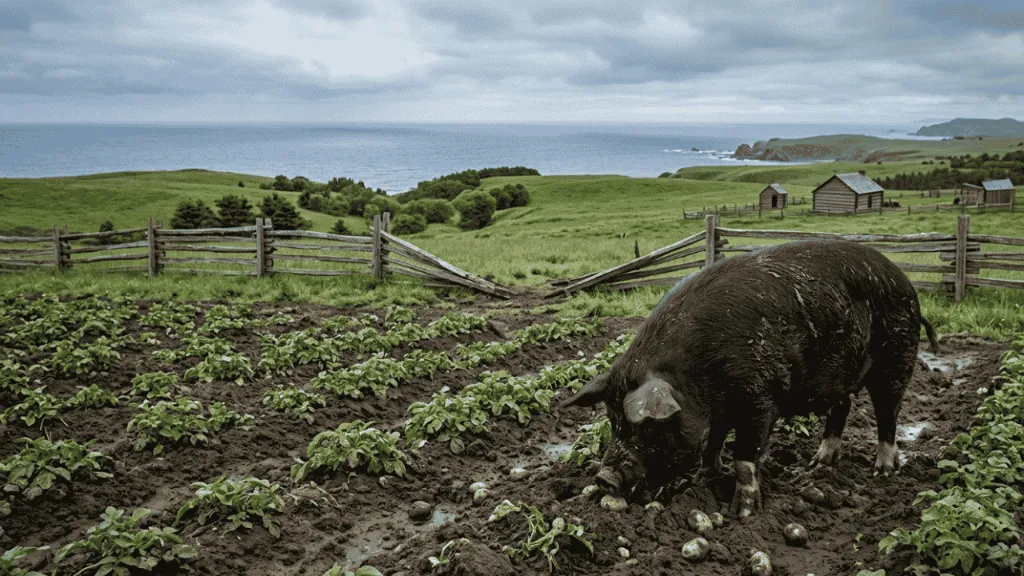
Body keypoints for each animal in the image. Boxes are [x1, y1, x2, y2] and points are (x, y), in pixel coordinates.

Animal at [560, 239, 939, 518]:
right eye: (613, 422)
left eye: (646, 427)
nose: (604, 477)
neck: (698, 376)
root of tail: (907, 284)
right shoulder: (718, 412)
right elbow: (712, 444)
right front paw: (704, 477)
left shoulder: (760, 398)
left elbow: (745, 457)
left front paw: (741, 513)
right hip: (839, 372)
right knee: (842, 407)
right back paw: (819, 463)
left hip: (898, 355)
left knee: (888, 412)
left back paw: (883, 471)